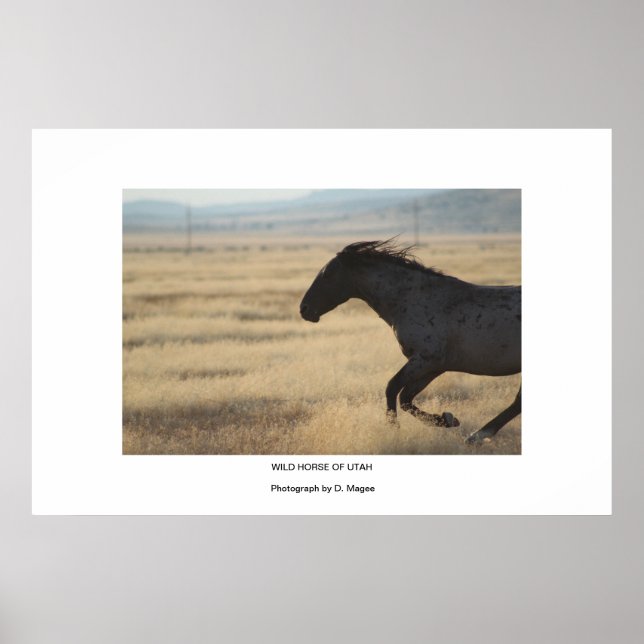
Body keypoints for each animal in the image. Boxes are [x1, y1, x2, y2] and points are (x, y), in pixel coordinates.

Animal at [299, 240, 521, 443]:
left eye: (327, 274)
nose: (304, 309)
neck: (415, 300)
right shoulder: (433, 367)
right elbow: (405, 398)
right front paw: (447, 419)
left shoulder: (425, 360)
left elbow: (392, 388)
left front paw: (394, 429)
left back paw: (477, 436)